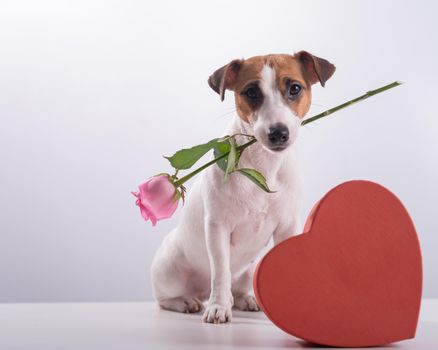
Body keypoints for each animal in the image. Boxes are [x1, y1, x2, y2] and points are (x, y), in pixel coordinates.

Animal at [151, 51, 336, 322]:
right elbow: (220, 271)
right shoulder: (217, 228)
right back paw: (187, 301)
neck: (264, 165)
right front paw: (218, 307)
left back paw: (244, 298)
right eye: (251, 92)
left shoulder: (287, 227)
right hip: (169, 269)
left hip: (249, 270)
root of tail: (200, 291)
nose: (278, 133)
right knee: (165, 298)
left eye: (294, 88)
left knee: (237, 288)